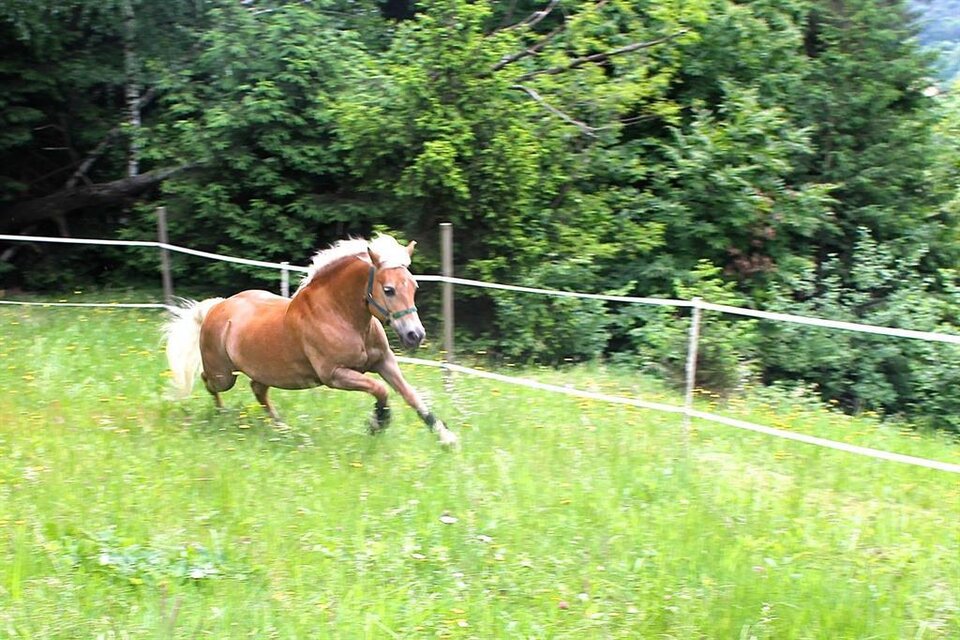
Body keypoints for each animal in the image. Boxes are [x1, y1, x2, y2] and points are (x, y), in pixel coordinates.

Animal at [163, 234, 458, 447]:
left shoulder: (384, 362)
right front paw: (378, 423)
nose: (415, 335)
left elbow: (411, 396)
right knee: (208, 381)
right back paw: (223, 415)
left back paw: (283, 429)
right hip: (224, 375)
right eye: (389, 290)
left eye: (414, 286)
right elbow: (380, 390)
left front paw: (447, 438)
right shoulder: (334, 375)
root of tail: (217, 307)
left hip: (263, 372)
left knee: (258, 391)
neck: (339, 314)